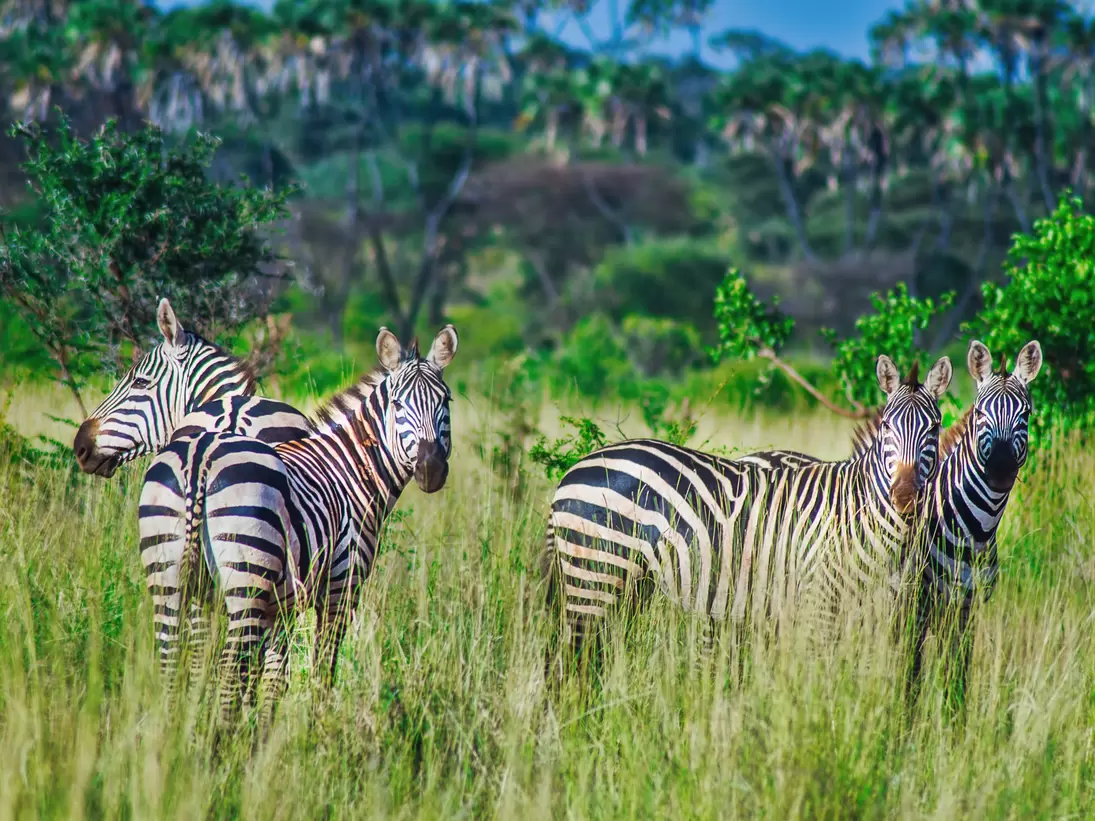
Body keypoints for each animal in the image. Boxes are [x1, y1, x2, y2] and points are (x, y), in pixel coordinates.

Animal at [139, 324, 459, 724]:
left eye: (446, 401)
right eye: (398, 404)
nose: (431, 469)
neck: (350, 468)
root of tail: (201, 455)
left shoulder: (280, 605)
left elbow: (274, 676)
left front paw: (261, 730)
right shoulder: (340, 586)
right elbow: (323, 666)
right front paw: (317, 728)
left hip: (167, 574)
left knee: (172, 662)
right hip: (245, 579)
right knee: (228, 669)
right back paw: (220, 738)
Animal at [543, 354, 953, 659]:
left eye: (934, 429)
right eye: (886, 427)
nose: (904, 497)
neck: (858, 514)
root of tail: (573, 468)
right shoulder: (819, 601)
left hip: (627, 585)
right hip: (594, 577)